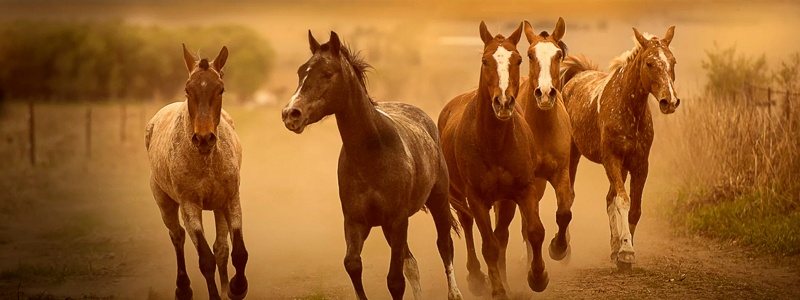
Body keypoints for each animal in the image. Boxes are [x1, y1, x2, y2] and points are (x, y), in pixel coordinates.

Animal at [144, 44, 248, 300]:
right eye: (187, 89)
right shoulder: (189, 206)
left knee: (221, 247)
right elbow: (205, 260)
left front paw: (236, 288)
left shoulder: (231, 200)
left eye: (220, 89)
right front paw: (219, 293)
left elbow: (238, 252)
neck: (206, 160)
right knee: (177, 237)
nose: (203, 138)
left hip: (219, 207)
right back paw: (183, 288)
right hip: (165, 202)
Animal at [280, 30, 462, 300]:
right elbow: (353, 264)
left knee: (444, 245)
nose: (291, 113)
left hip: (437, 201)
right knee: (412, 262)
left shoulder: (397, 221)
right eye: (301, 71)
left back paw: (455, 292)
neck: (373, 154)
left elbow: (395, 280)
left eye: (327, 73)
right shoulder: (356, 222)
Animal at [438, 20, 552, 298]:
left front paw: (538, 277)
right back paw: (477, 277)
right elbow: (488, 244)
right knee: (468, 226)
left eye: (519, 59)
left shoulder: (520, 190)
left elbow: (531, 232)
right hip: (458, 197)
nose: (503, 102)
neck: (493, 142)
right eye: (485, 61)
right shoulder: (476, 198)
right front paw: (498, 289)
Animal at [560, 25, 680, 270]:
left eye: (673, 62)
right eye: (649, 63)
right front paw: (625, 251)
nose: (670, 102)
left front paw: (624, 249)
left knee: (608, 199)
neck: (627, 108)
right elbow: (623, 201)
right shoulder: (612, 160)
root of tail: (575, 78)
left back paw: (613, 246)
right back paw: (563, 248)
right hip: (574, 156)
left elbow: (633, 208)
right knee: (570, 195)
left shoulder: (639, 164)